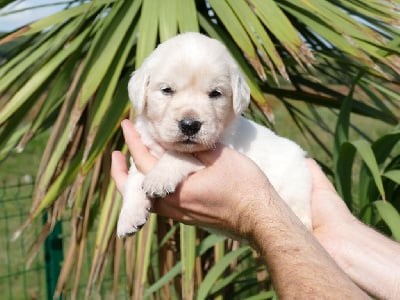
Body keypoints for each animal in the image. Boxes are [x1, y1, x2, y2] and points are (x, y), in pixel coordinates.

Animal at [115, 32, 312, 238]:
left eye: (215, 93)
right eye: (167, 90)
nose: (190, 125)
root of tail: (301, 155)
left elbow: (180, 155)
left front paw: (158, 177)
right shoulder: (146, 147)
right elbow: (134, 179)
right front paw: (129, 217)